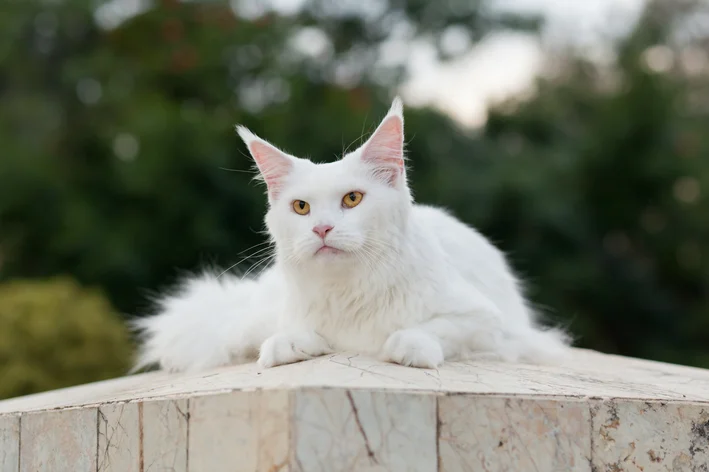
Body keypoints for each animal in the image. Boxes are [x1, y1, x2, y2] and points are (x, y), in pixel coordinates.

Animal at [134, 97, 568, 372]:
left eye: (353, 199)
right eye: (301, 208)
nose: (322, 228)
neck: (349, 293)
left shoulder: (491, 324)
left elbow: (438, 329)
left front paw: (407, 344)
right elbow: (287, 336)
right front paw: (293, 344)